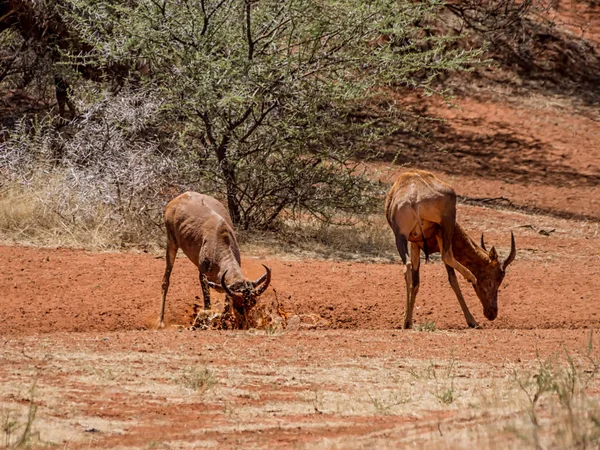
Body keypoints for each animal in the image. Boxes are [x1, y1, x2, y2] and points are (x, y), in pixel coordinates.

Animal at [159, 192, 272, 328]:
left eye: (253, 302)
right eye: (238, 305)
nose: (245, 325)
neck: (218, 235)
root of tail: (177, 199)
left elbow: (226, 306)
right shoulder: (203, 274)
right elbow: (207, 304)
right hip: (171, 242)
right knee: (166, 280)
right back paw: (160, 321)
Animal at [384, 171, 516, 328]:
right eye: (496, 277)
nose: (492, 313)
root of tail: (413, 199)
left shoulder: (415, 243)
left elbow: (416, 282)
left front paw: (408, 321)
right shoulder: (439, 234)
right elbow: (453, 279)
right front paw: (472, 321)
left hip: (400, 236)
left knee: (407, 266)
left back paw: (406, 322)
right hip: (446, 223)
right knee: (446, 256)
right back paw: (471, 276)